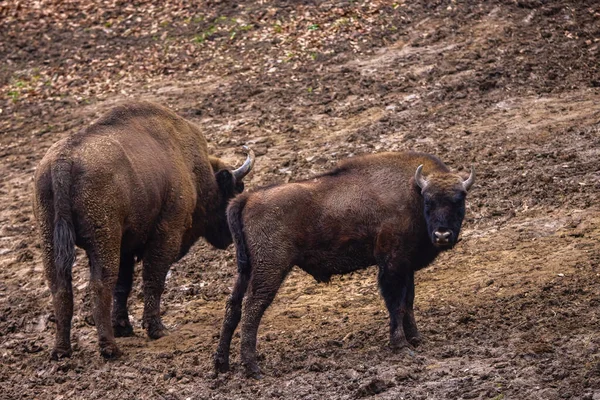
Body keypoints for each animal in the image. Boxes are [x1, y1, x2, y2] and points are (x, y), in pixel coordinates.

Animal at [33, 100, 253, 360]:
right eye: (235, 190)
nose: (229, 236)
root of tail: (64, 161)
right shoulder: (167, 233)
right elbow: (153, 279)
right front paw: (157, 330)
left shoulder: (126, 247)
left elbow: (124, 285)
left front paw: (123, 327)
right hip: (103, 240)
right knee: (100, 285)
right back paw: (109, 348)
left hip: (51, 239)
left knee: (60, 287)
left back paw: (62, 350)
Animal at [214, 151, 474, 378]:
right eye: (429, 201)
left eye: (459, 200)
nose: (442, 235)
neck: (413, 192)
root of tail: (247, 198)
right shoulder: (391, 265)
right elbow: (396, 304)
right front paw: (401, 345)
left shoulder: (405, 266)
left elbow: (407, 303)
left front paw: (417, 339)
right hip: (269, 269)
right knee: (252, 307)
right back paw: (252, 368)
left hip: (246, 269)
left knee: (233, 306)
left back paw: (221, 365)